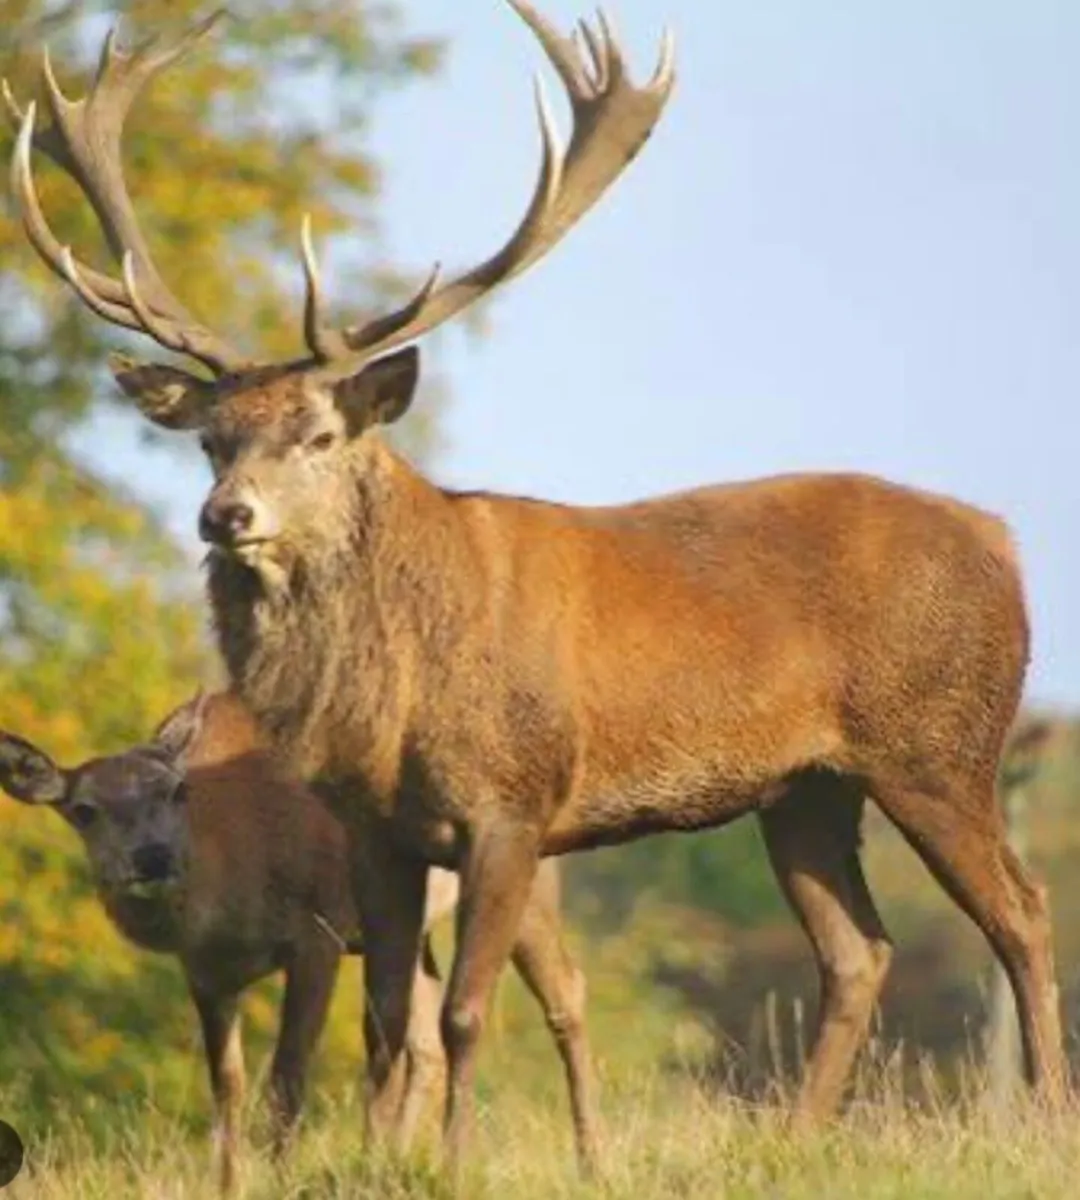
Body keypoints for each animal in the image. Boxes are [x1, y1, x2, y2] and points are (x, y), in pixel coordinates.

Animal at [0, 691, 593, 1191]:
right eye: (84, 810)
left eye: (176, 790)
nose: (153, 857)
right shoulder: (205, 973)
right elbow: (228, 1085)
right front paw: (228, 1185)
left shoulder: (317, 932)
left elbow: (287, 1076)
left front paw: (279, 1181)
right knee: (424, 1045)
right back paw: (393, 1164)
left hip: (528, 874)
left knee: (566, 991)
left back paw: (588, 1158)